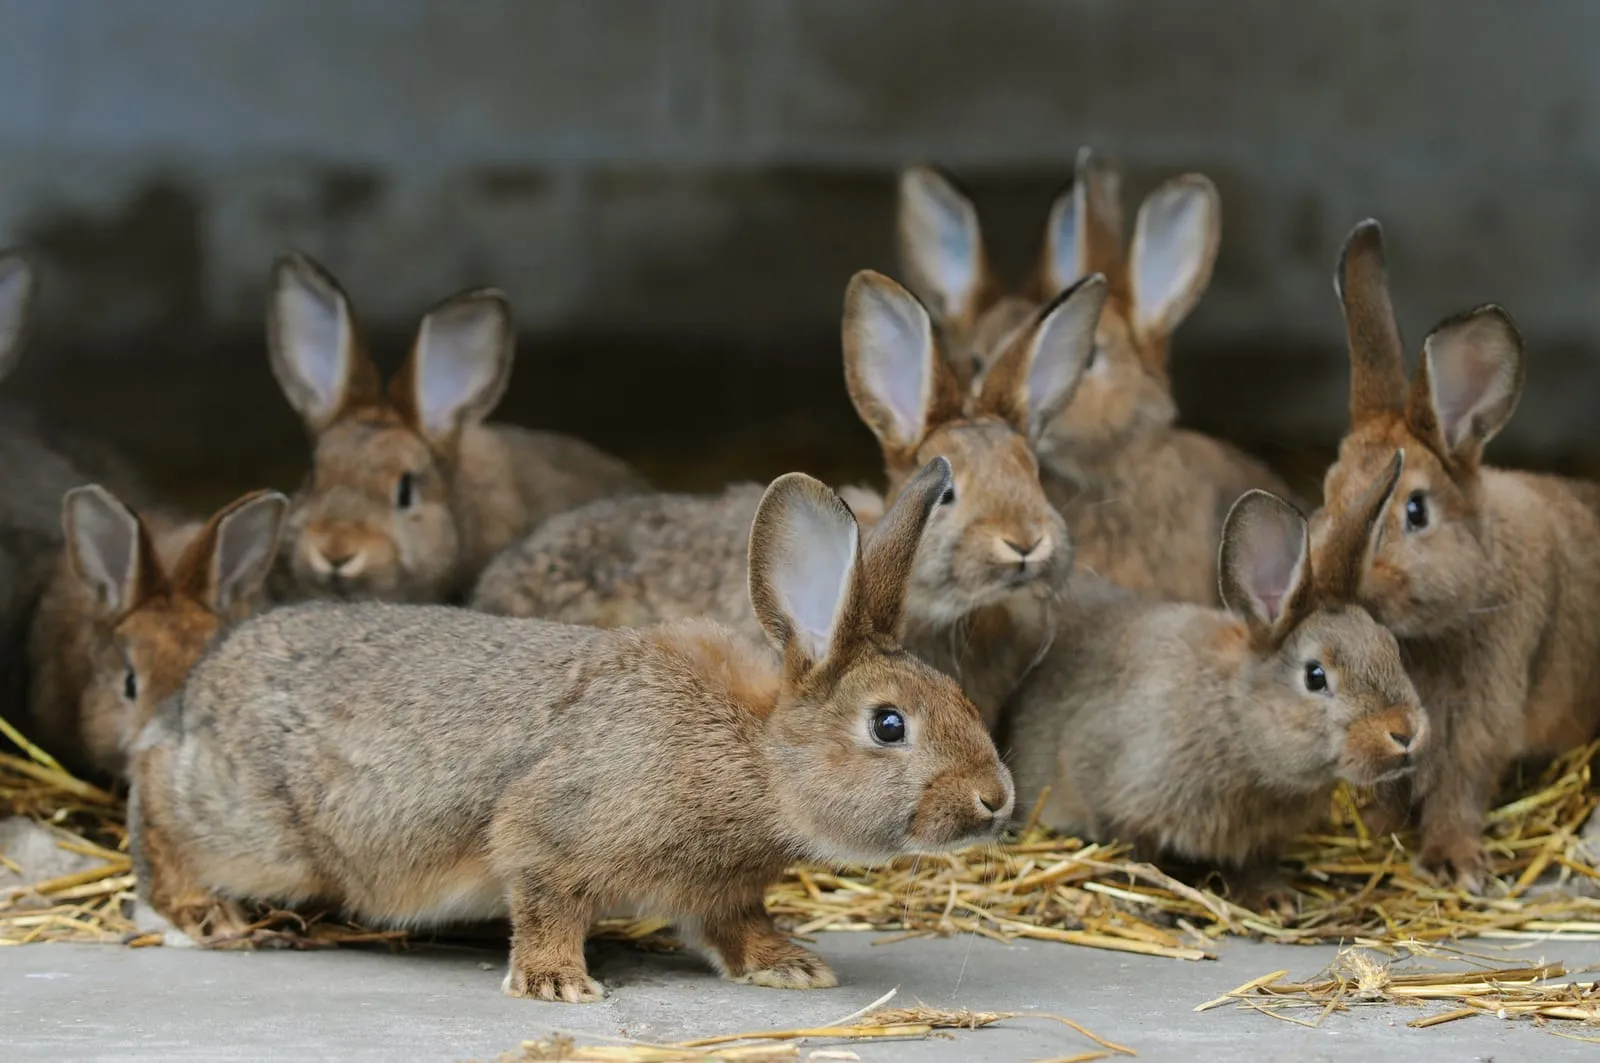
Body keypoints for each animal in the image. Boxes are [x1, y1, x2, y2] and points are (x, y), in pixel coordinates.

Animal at [129, 458, 1014, 1001]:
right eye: (889, 724)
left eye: (958, 696)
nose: (997, 799)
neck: (757, 755)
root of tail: (204, 687)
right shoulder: (552, 832)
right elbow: (546, 900)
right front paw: (556, 982)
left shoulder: (721, 886)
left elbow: (735, 926)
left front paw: (789, 966)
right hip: (263, 833)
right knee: (158, 791)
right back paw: (198, 912)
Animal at [1004, 454, 1425, 906]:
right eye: (1315, 676)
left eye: (1389, 646)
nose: (1404, 734)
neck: (1237, 722)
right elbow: (1132, 848)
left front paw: (1274, 899)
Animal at [1309, 220, 1600, 891]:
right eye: (1329, 490)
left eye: (1415, 510)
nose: (1332, 579)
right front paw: (1378, 832)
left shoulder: (1478, 717)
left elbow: (1460, 788)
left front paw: (1453, 864)